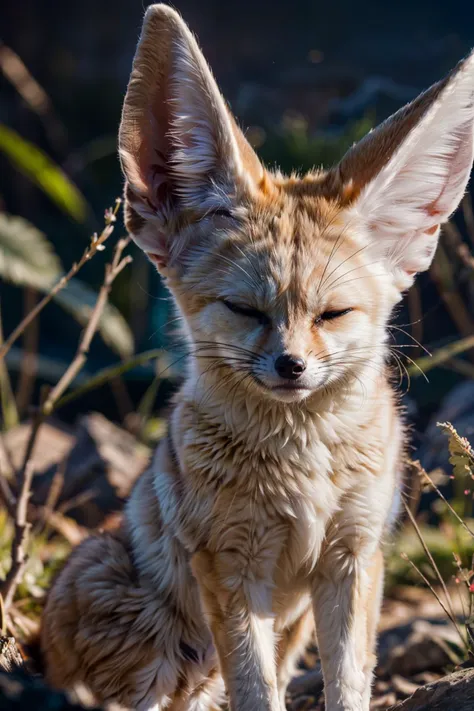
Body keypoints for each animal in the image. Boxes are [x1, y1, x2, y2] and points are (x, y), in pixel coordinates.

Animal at [39, 6, 474, 711]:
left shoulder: (353, 555)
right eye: (245, 310)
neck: (304, 466)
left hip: (282, 629)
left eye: (333, 315)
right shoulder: (232, 566)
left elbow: (348, 682)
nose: (291, 367)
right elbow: (255, 688)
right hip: (141, 621)